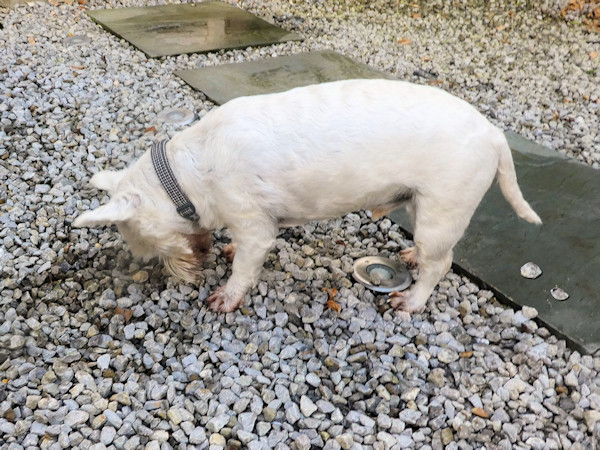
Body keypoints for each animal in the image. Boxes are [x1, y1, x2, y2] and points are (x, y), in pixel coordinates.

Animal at [72, 79, 540, 312]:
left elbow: (245, 265)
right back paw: (409, 256)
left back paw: (412, 300)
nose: (177, 277)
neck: (187, 175)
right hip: (424, 205)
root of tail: (494, 135)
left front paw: (226, 297)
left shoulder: (255, 225)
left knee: (438, 263)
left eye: (147, 244)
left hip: (444, 208)